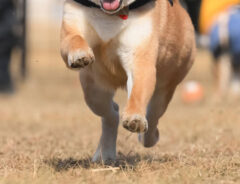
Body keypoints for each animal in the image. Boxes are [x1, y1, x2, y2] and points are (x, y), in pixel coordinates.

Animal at [60, 0, 195, 162]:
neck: (110, 16)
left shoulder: (139, 56)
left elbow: (137, 93)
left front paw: (134, 118)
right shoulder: (73, 20)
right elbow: (73, 38)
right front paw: (79, 54)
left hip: (164, 89)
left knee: (152, 117)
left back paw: (148, 136)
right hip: (94, 92)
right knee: (111, 114)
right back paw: (105, 154)